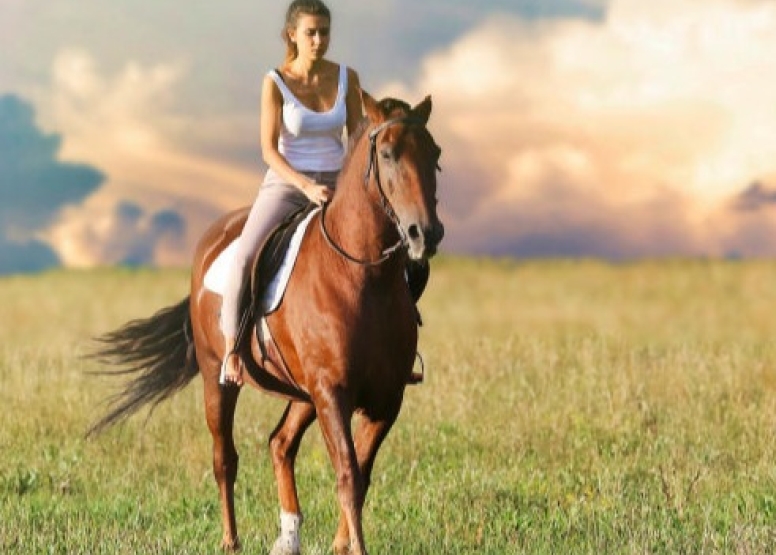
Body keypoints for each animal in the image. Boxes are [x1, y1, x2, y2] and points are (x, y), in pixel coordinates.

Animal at [86, 89, 442, 552]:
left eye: (435, 154)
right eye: (387, 153)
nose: (425, 234)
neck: (364, 276)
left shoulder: (385, 399)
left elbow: (360, 476)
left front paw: (340, 545)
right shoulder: (332, 393)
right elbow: (347, 475)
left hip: (302, 393)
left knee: (280, 443)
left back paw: (288, 537)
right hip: (218, 379)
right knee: (225, 458)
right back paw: (230, 540)